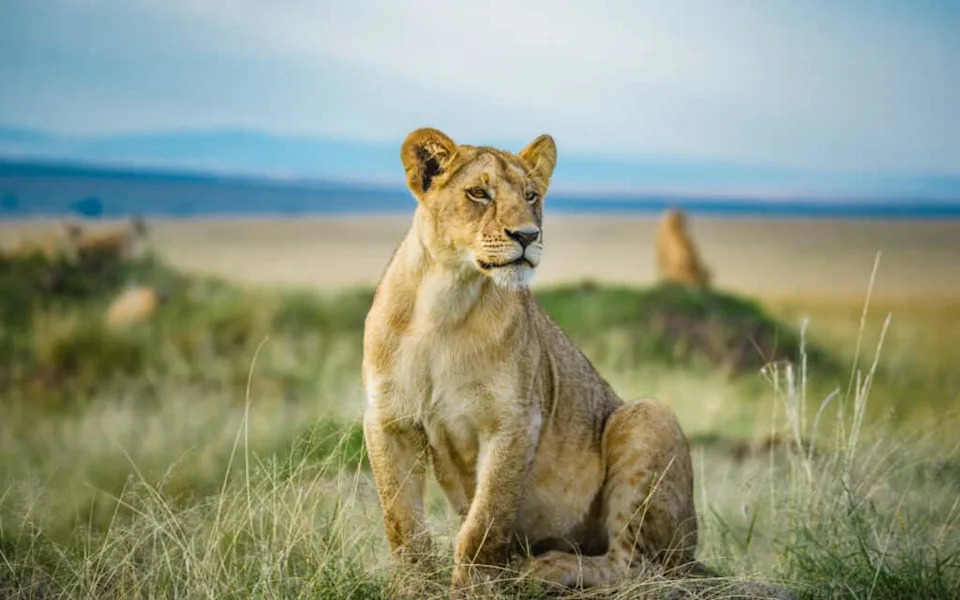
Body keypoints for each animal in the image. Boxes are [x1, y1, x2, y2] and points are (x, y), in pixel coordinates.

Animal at [362, 128, 699, 596]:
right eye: (479, 192)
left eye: (531, 195)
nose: (527, 235)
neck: (445, 300)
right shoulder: (389, 420)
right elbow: (401, 520)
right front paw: (412, 586)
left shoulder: (514, 421)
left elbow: (485, 521)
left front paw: (476, 587)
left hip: (648, 415)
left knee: (634, 565)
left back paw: (544, 568)